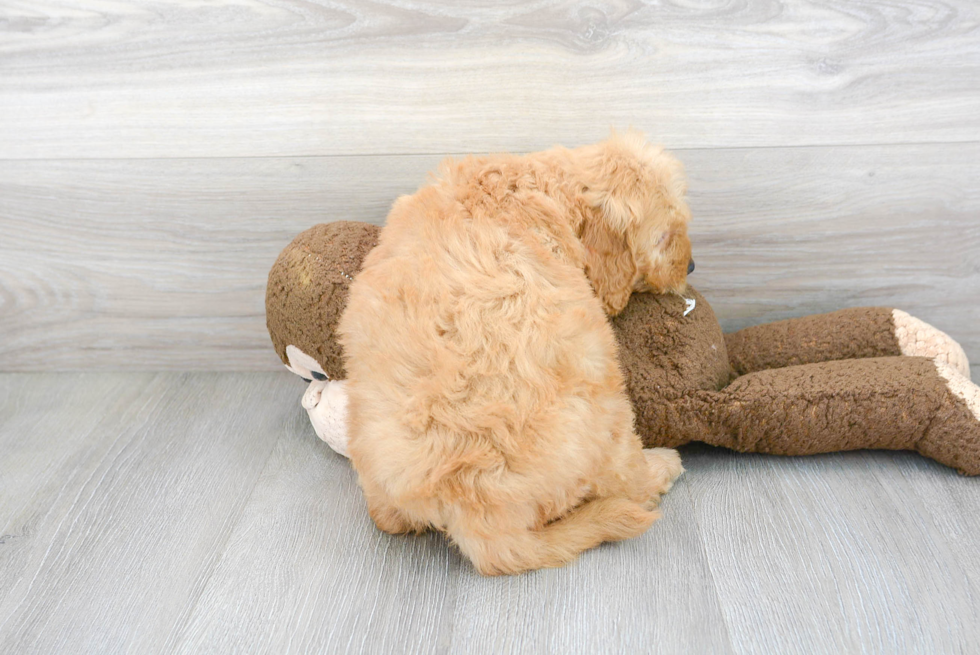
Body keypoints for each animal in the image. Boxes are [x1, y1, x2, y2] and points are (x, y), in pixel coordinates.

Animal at [340, 132, 692, 576]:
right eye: (663, 238)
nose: (691, 267)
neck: (542, 185)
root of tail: (477, 521)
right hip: (604, 401)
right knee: (628, 478)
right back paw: (663, 465)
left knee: (387, 518)